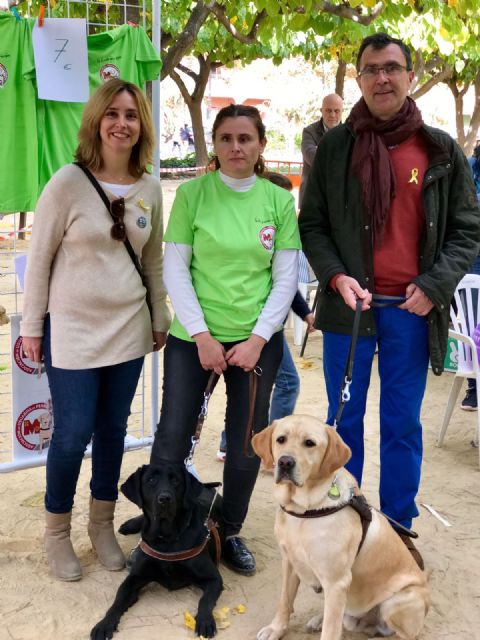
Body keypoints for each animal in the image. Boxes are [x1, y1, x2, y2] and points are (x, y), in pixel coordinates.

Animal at [89, 462, 223, 636]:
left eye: (176, 481)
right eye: (151, 480)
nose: (165, 499)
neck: (167, 538)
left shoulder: (214, 579)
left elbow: (205, 600)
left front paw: (205, 621)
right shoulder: (134, 578)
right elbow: (118, 600)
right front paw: (104, 624)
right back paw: (130, 525)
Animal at [253, 416, 430, 640]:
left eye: (309, 443)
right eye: (281, 439)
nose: (285, 462)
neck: (304, 511)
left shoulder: (336, 582)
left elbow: (330, 631)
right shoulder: (290, 563)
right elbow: (284, 601)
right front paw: (276, 628)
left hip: (397, 601)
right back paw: (320, 620)